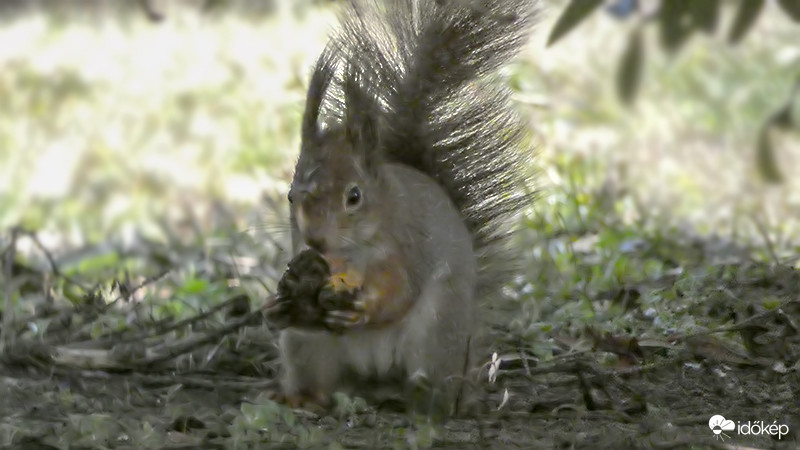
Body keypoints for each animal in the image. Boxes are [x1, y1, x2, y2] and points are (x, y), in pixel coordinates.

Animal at [268, 0, 536, 414]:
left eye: (354, 196)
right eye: (290, 197)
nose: (315, 240)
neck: (354, 251)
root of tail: (374, 382)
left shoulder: (410, 248)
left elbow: (400, 291)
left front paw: (364, 307)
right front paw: (281, 297)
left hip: (436, 329)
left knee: (429, 379)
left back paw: (425, 399)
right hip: (307, 347)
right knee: (321, 379)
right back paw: (303, 396)